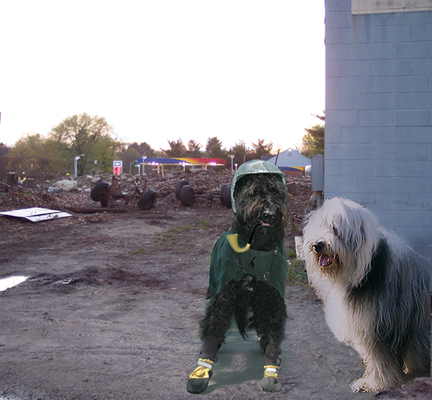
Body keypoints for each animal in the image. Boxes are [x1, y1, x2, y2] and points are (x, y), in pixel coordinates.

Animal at [186, 160, 289, 394]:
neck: (256, 247)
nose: (270, 214)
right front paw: (201, 370)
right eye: (255, 192)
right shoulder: (223, 294)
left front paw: (271, 368)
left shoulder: (272, 296)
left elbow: (272, 330)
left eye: (276, 192)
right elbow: (214, 324)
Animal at [303, 197, 430, 393]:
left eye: (335, 229)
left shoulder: (377, 327)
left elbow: (379, 359)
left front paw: (375, 383)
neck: (368, 267)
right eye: (319, 227)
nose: (318, 245)